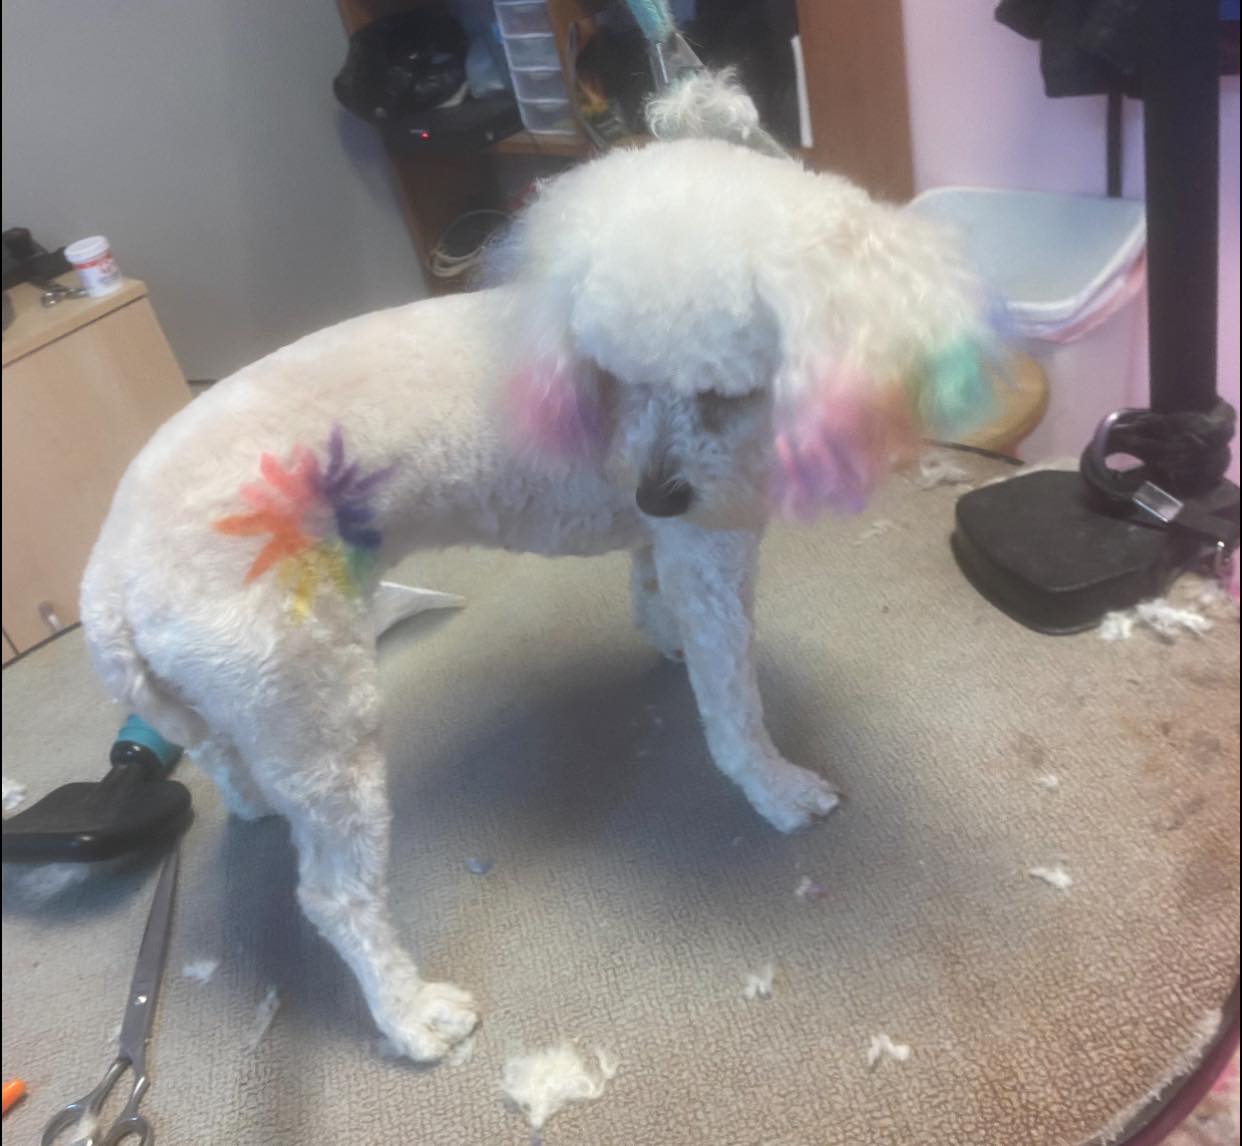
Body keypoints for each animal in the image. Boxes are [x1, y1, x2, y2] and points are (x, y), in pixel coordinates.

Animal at [80, 77, 993, 1063]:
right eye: (620, 376)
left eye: (718, 393)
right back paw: (413, 1015)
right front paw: (777, 788)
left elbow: (651, 590)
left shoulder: (672, 542)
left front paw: (663, 638)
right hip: (320, 718)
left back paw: (253, 804)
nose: (656, 491)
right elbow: (734, 707)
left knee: (228, 764)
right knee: (334, 896)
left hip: (233, 701)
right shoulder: (712, 556)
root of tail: (108, 578)